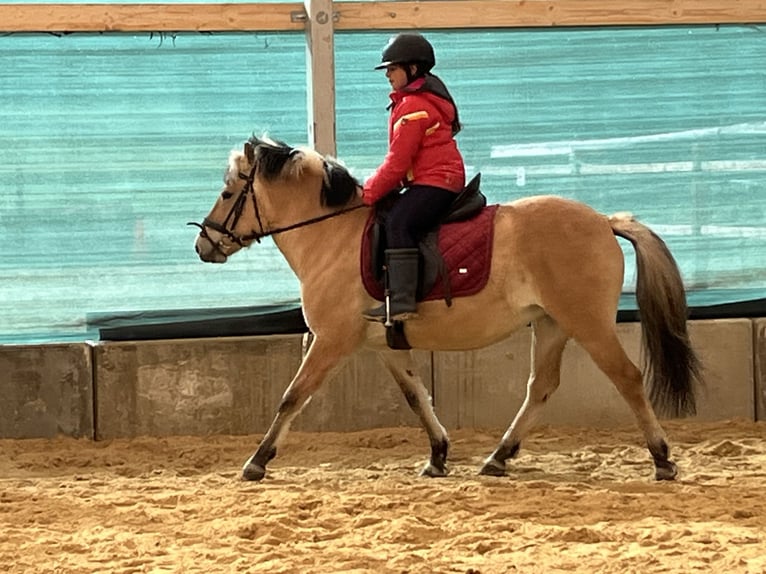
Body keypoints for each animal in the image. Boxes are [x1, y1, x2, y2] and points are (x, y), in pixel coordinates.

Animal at [191, 135, 702, 482]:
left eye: (228, 191)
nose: (203, 245)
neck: (333, 235)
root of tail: (603, 220)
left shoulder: (331, 341)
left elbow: (292, 397)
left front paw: (257, 461)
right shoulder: (383, 344)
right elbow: (417, 396)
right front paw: (437, 454)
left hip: (587, 322)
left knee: (627, 378)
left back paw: (661, 458)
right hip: (551, 324)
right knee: (541, 387)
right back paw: (497, 457)